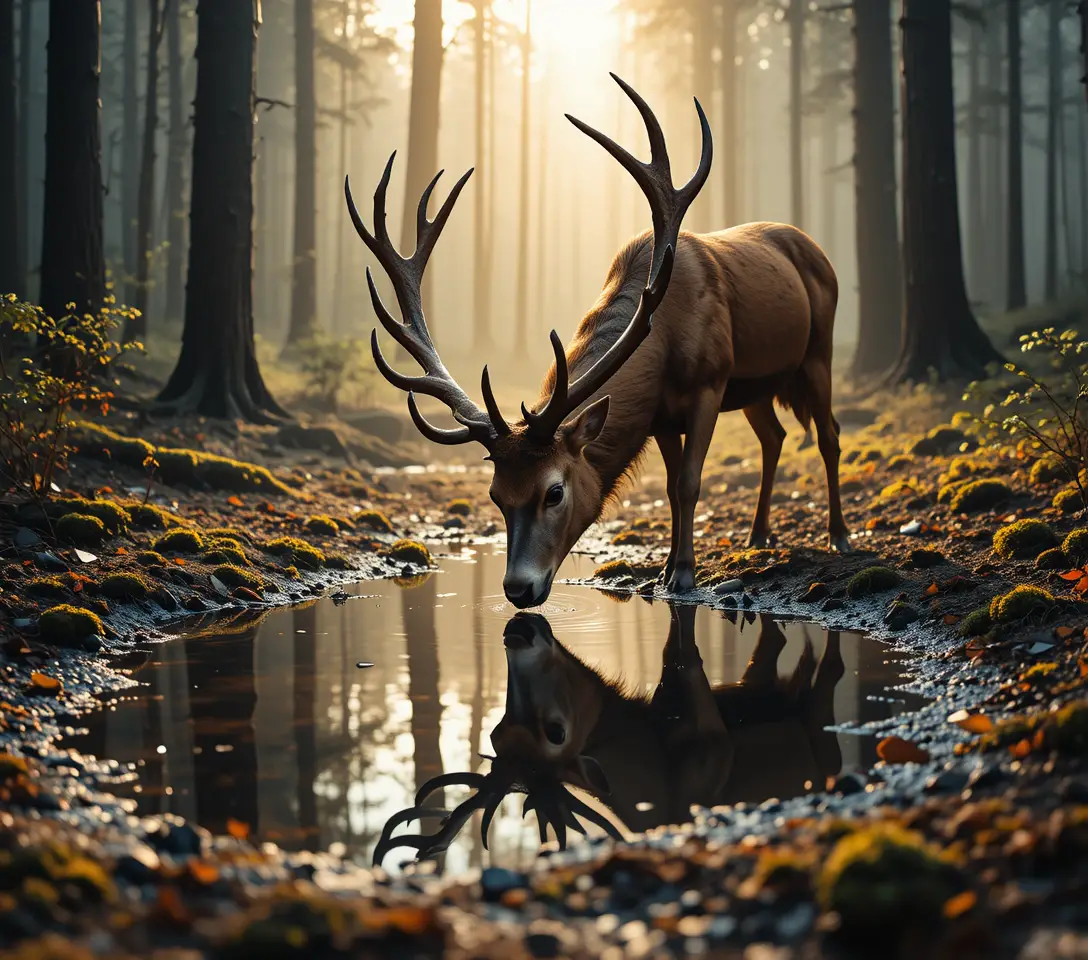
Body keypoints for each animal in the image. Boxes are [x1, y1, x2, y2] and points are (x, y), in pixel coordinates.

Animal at [345, 74, 849, 610]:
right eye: (496, 495)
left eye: (554, 492)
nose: (518, 588)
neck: (663, 340)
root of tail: (817, 250)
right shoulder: (660, 416)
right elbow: (671, 487)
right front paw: (666, 568)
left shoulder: (709, 383)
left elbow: (689, 483)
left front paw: (684, 574)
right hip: (757, 386)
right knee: (774, 435)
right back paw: (758, 535)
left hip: (818, 350)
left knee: (829, 433)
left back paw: (838, 535)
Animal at [372, 606, 845, 866]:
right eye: (496, 732)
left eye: (556, 731)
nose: (520, 629)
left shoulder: (713, 734)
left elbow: (684, 652)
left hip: (821, 728)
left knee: (830, 670)